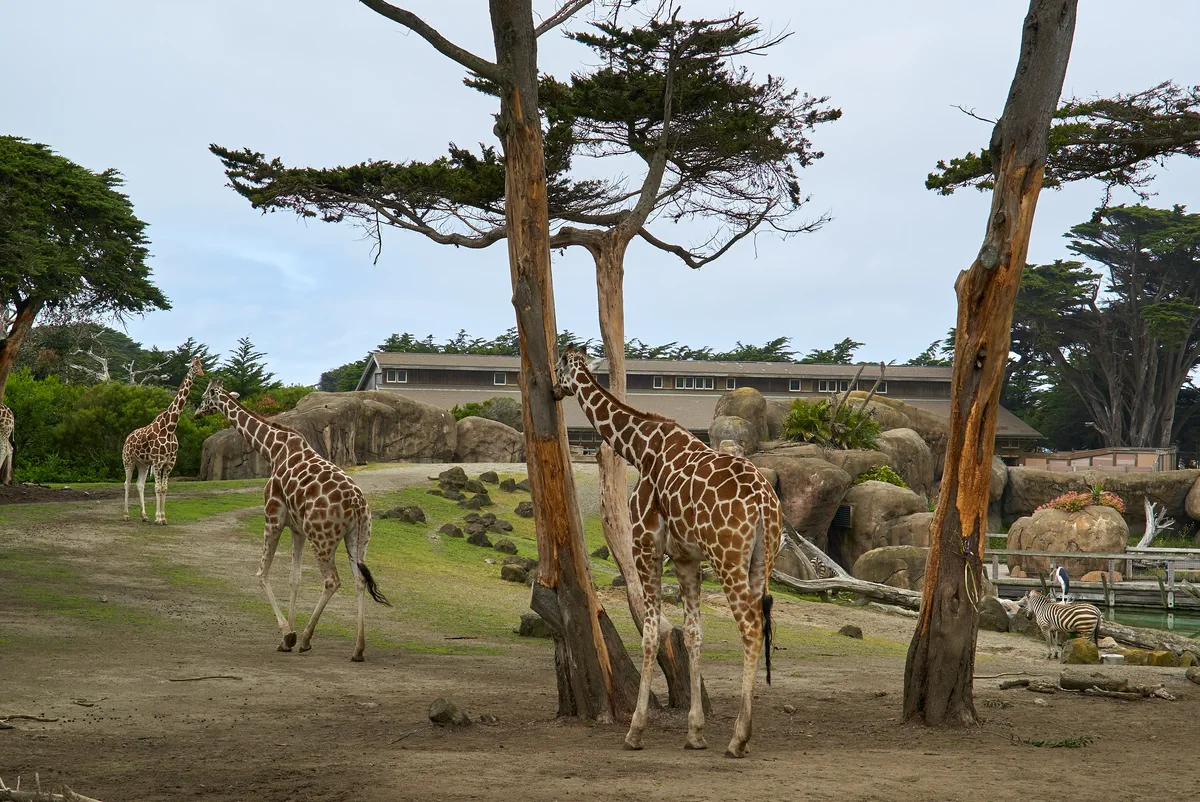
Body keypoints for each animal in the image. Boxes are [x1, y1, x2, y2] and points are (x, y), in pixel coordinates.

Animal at [121, 355, 204, 521]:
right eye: (193, 366)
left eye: (201, 365)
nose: (201, 373)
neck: (170, 427)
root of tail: (127, 438)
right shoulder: (158, 461)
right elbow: (157, 488)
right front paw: (158, 518)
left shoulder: (169, 463)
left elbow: (164, 488)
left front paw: (163, 517)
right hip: (129, 460)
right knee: (127, 483)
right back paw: (126, 515)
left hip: (143, 464)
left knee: (140, 484)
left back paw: (144, 516)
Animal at [193, 379, 388, 662]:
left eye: (205, 396)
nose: (196, 413)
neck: (273, 449)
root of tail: (356, 504)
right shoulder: (297, 530)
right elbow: (294, 579)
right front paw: (289, 636)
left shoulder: (273, 518)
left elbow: (262, 573)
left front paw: (288, 635)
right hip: (359, 539)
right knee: (359, 580)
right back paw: (358, 649)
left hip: (323, 538)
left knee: (332, 581)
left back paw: (307, 639)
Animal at [554, 345, 787, 758]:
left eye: (559, 367)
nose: (552, 389)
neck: (641, 448)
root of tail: (764, 503)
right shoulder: (685, 557)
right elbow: (693, 634)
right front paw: (694, 732)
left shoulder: (645, 544)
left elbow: (650, 633)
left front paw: (635, 730)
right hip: (764, 558)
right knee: (759, 622)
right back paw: (738, 735)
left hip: (728, 558)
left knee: (750, 626)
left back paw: (738, 738)